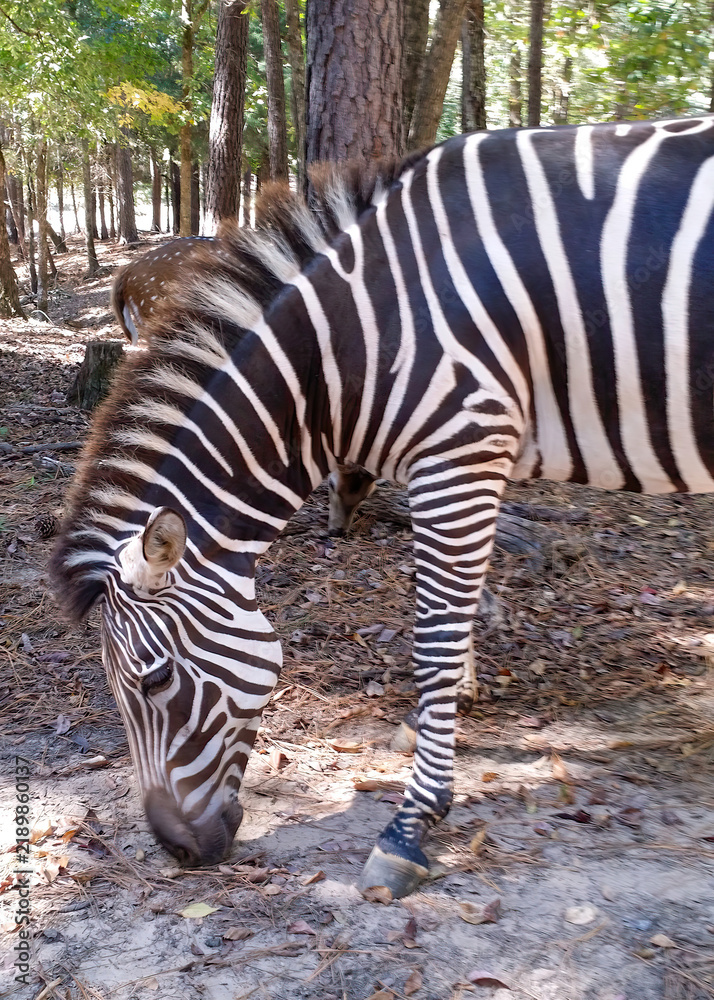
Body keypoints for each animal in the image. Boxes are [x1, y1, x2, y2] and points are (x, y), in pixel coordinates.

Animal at [51, 115, 714, 899]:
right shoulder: (473, 458)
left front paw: (411, 826)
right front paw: (444, 712)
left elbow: (434, 634)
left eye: (153, 681)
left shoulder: (462, 450)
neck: (360, 341)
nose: (177, 852)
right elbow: (457, 607)